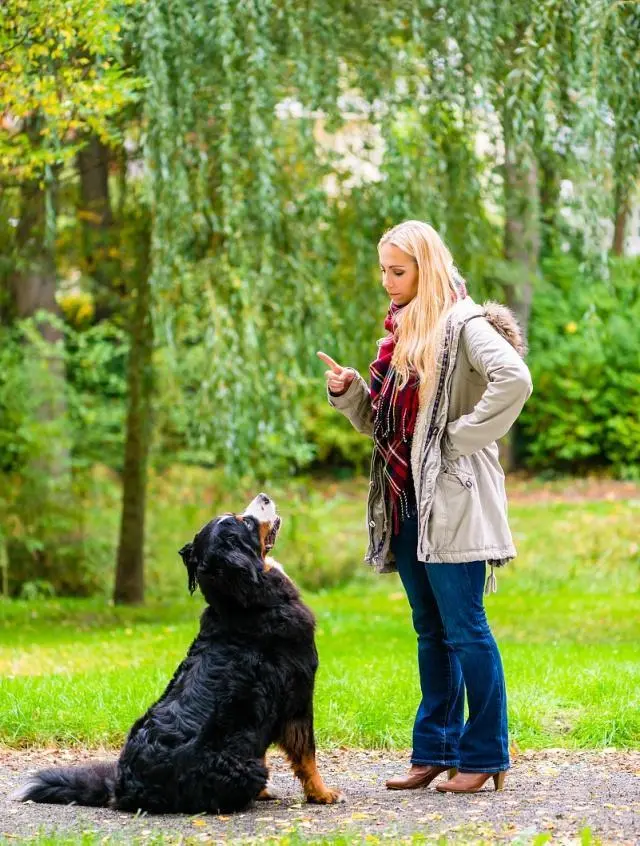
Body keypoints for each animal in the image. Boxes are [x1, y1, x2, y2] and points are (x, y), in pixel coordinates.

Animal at [12, 496, 342, 816]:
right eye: (245, 522)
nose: (263, 496)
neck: (242, 604)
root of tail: (122, 788)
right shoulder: (298, 695)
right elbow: (307, 755)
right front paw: (322, 794)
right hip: (246, 768)